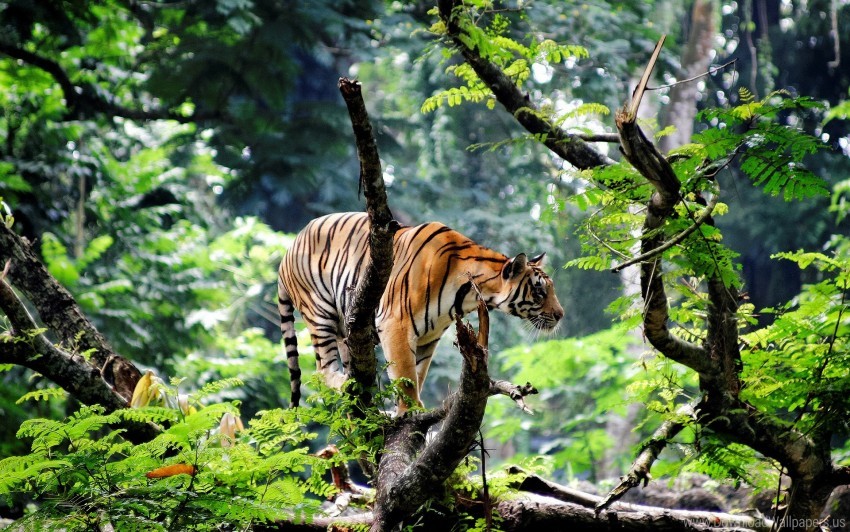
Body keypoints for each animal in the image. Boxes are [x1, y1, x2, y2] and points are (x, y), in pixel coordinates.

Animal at [277, 212, 564, 412]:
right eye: (539, 291)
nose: (560, 315)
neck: (469, 294)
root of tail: (287, 250)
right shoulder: (396, 323)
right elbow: (405, 375)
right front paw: (409, 411)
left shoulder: (429, 336)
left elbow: (418, 373)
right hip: (320, 313)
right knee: (322, 370)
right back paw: (348, 385)